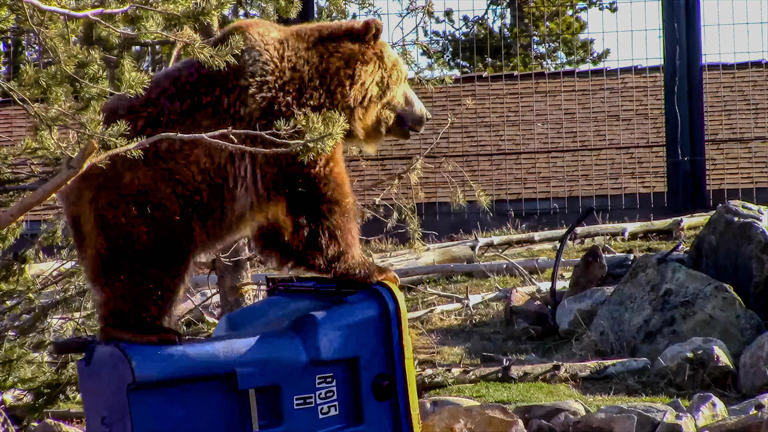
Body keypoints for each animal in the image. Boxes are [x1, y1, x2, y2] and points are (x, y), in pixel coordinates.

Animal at [57, 18, 430, 344]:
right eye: (404, 77)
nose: (423, 116)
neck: (323, 91)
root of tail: (74, 177)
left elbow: (283, 227)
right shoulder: (282, 128)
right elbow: (319, 203)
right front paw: (374, 267)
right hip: (146, 199)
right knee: (144, 264)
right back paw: (144, 329)